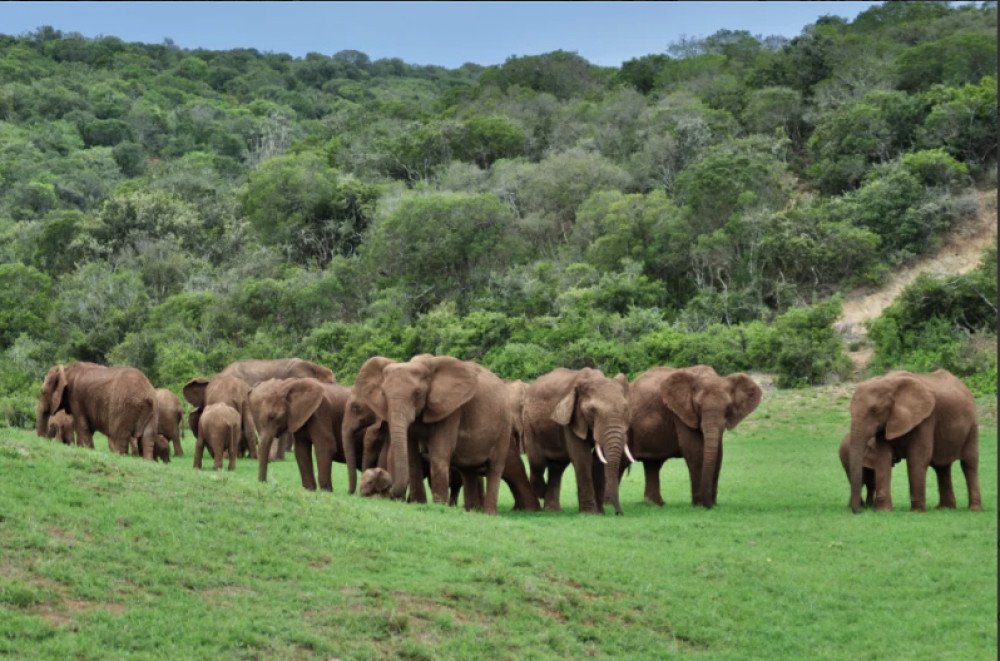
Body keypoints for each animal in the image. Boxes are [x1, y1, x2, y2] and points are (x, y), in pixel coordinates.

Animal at [354, 354, 512, 512]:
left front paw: (439, 505)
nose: (390, 493)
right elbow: (411, 455)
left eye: (417, 394)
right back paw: (472, 511)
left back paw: (488, 513)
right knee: (469, 471)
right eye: (383, 394)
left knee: (494, 468)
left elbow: (439, 452)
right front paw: (418, 502)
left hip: (505, 427)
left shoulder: (451, 410)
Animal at [520, 366, 628, 516]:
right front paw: (589, 514)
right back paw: (542, 493)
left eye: (625, 409)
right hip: (528, 422)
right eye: (592, 410)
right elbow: (583, 458)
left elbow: (599, 461)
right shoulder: (571, 419)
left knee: (557, 466)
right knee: (538, 462)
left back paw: (553, 510)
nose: (619, 513)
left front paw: (599, 513)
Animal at [628, 364, 760, 508]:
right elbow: (695, 452)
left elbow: (719, 456)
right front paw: (700, 505)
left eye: (728, 408)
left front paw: (711, 504)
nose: (711, 505)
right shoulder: (681, 413)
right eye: (698, 406)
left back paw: (656, 505)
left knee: (653, 464)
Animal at [848, 368, 980, 512]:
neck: (888, 381)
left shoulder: (926, 418)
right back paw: (945, 508)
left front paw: (917, 512)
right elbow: (883, 457)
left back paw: (974, 509)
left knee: (969, 463)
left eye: (874, 410)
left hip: (972, 424)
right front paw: (883, 511)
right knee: (941, 467)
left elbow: (918, 457)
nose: (858, 511)